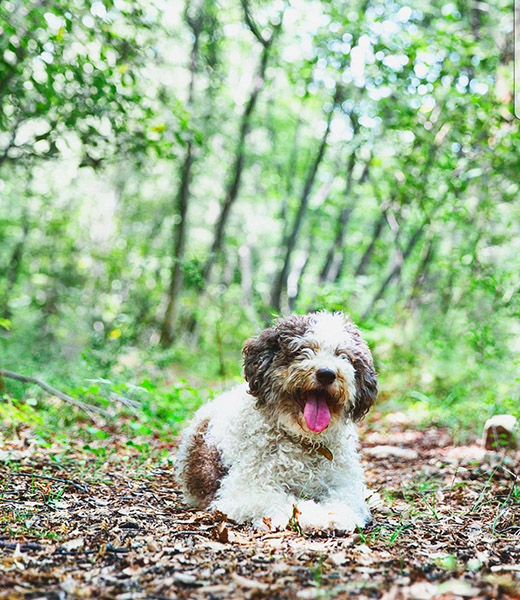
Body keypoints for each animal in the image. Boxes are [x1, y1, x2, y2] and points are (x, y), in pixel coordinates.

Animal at [176, 312, 378, 532]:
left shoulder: (344, 484)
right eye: (301, 350)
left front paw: (337, 515)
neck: (304, 442)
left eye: (343, 355)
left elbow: (347, 500)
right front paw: (315, 516)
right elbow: (287, 503)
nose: (326, 373)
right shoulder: (244, 490)